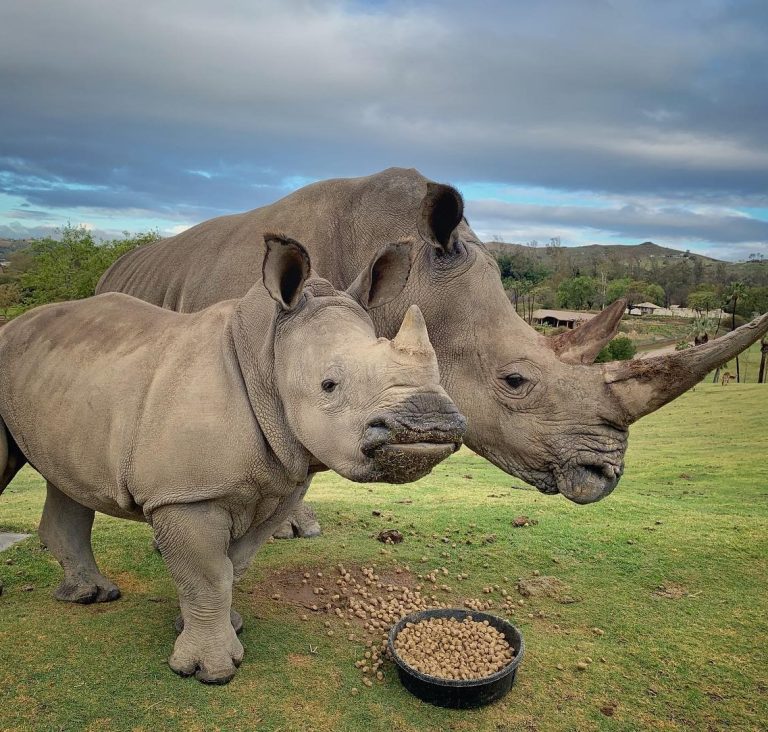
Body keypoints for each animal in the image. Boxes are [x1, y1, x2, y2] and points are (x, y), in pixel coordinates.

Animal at [0, 235, 466, 683]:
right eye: (329, 385)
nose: (432, 423)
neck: (267, 354)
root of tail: (13, 326)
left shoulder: (279, 485)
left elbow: (233, 566)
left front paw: (225, 626)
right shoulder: (186, 494)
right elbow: (207, 576)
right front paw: (210, 671)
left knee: (66, 482)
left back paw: (92, 596)